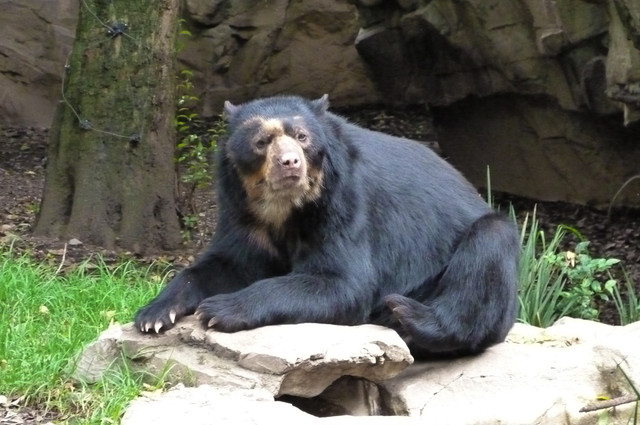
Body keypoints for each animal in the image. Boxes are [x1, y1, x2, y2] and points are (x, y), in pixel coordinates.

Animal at [135, 94, 520, 359]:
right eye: (261, 142)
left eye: (302, 136)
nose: (290, 163)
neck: (283, 207)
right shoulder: (239, 210)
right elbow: (225, 263)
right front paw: (153, 314)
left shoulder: (344, 202)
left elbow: (341, 282)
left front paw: (219, 310)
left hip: (481, 250)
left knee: (486, 253)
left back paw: (405, 313)